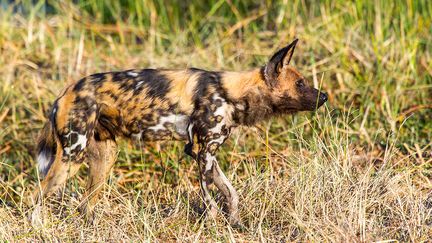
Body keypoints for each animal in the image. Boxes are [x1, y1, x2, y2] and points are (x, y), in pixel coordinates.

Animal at [31, 39, 328, 227]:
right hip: (72, 156)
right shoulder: (202, 153)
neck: (231, 92)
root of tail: (64, 93)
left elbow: (231, 194)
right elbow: (210, 202)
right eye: (301, 84)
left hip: (104, 158)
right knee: (39, 195)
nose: (324, 96)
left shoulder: (206, 154)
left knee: (84, 205)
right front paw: (215, 227)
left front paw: (236, 224)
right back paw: (37, 228)